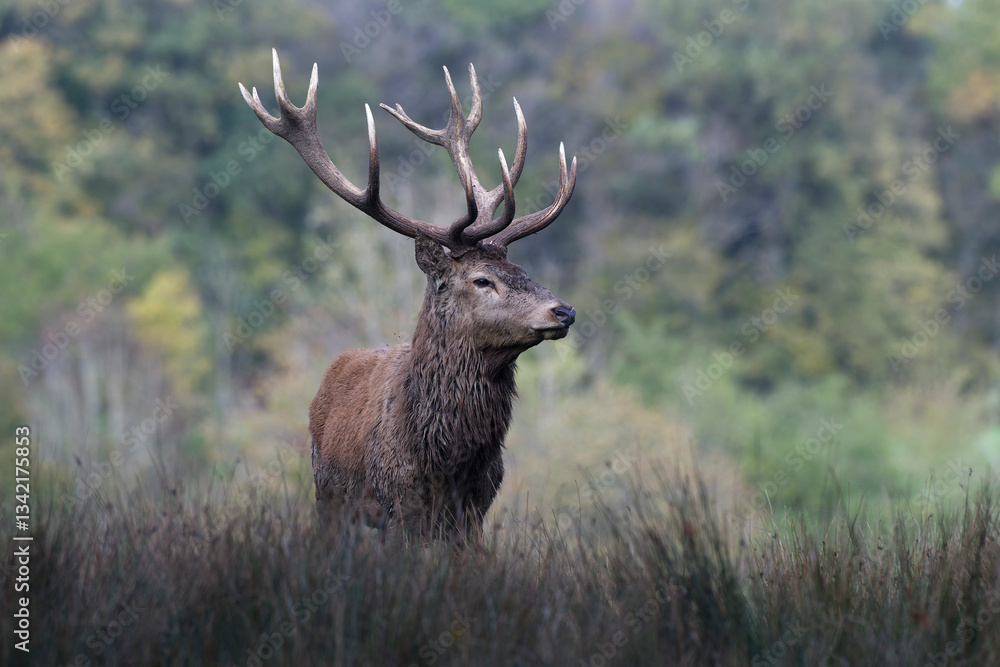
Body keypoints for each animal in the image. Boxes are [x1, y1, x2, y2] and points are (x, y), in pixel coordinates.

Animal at [239, 50, 577, 539]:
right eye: (482, 280)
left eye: (521, 270)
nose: (563, 311)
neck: (445, 459)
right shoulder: (398, 503)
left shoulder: (476, 509)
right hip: (327, 498)